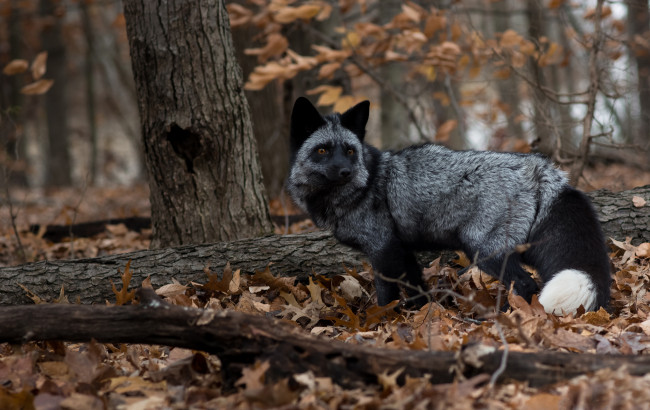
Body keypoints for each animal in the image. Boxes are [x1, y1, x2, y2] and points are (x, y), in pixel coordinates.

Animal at [286, 97, 611, 314]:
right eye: (323, 150)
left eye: (350, 151)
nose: (345, 172)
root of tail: (539, 167)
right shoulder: (402, 249)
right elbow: (416, 289)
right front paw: (419, 316)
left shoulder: (382, 248)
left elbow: (386, 293)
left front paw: (382, 320)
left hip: (484, 250)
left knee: (526, 284)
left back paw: (507, 317)